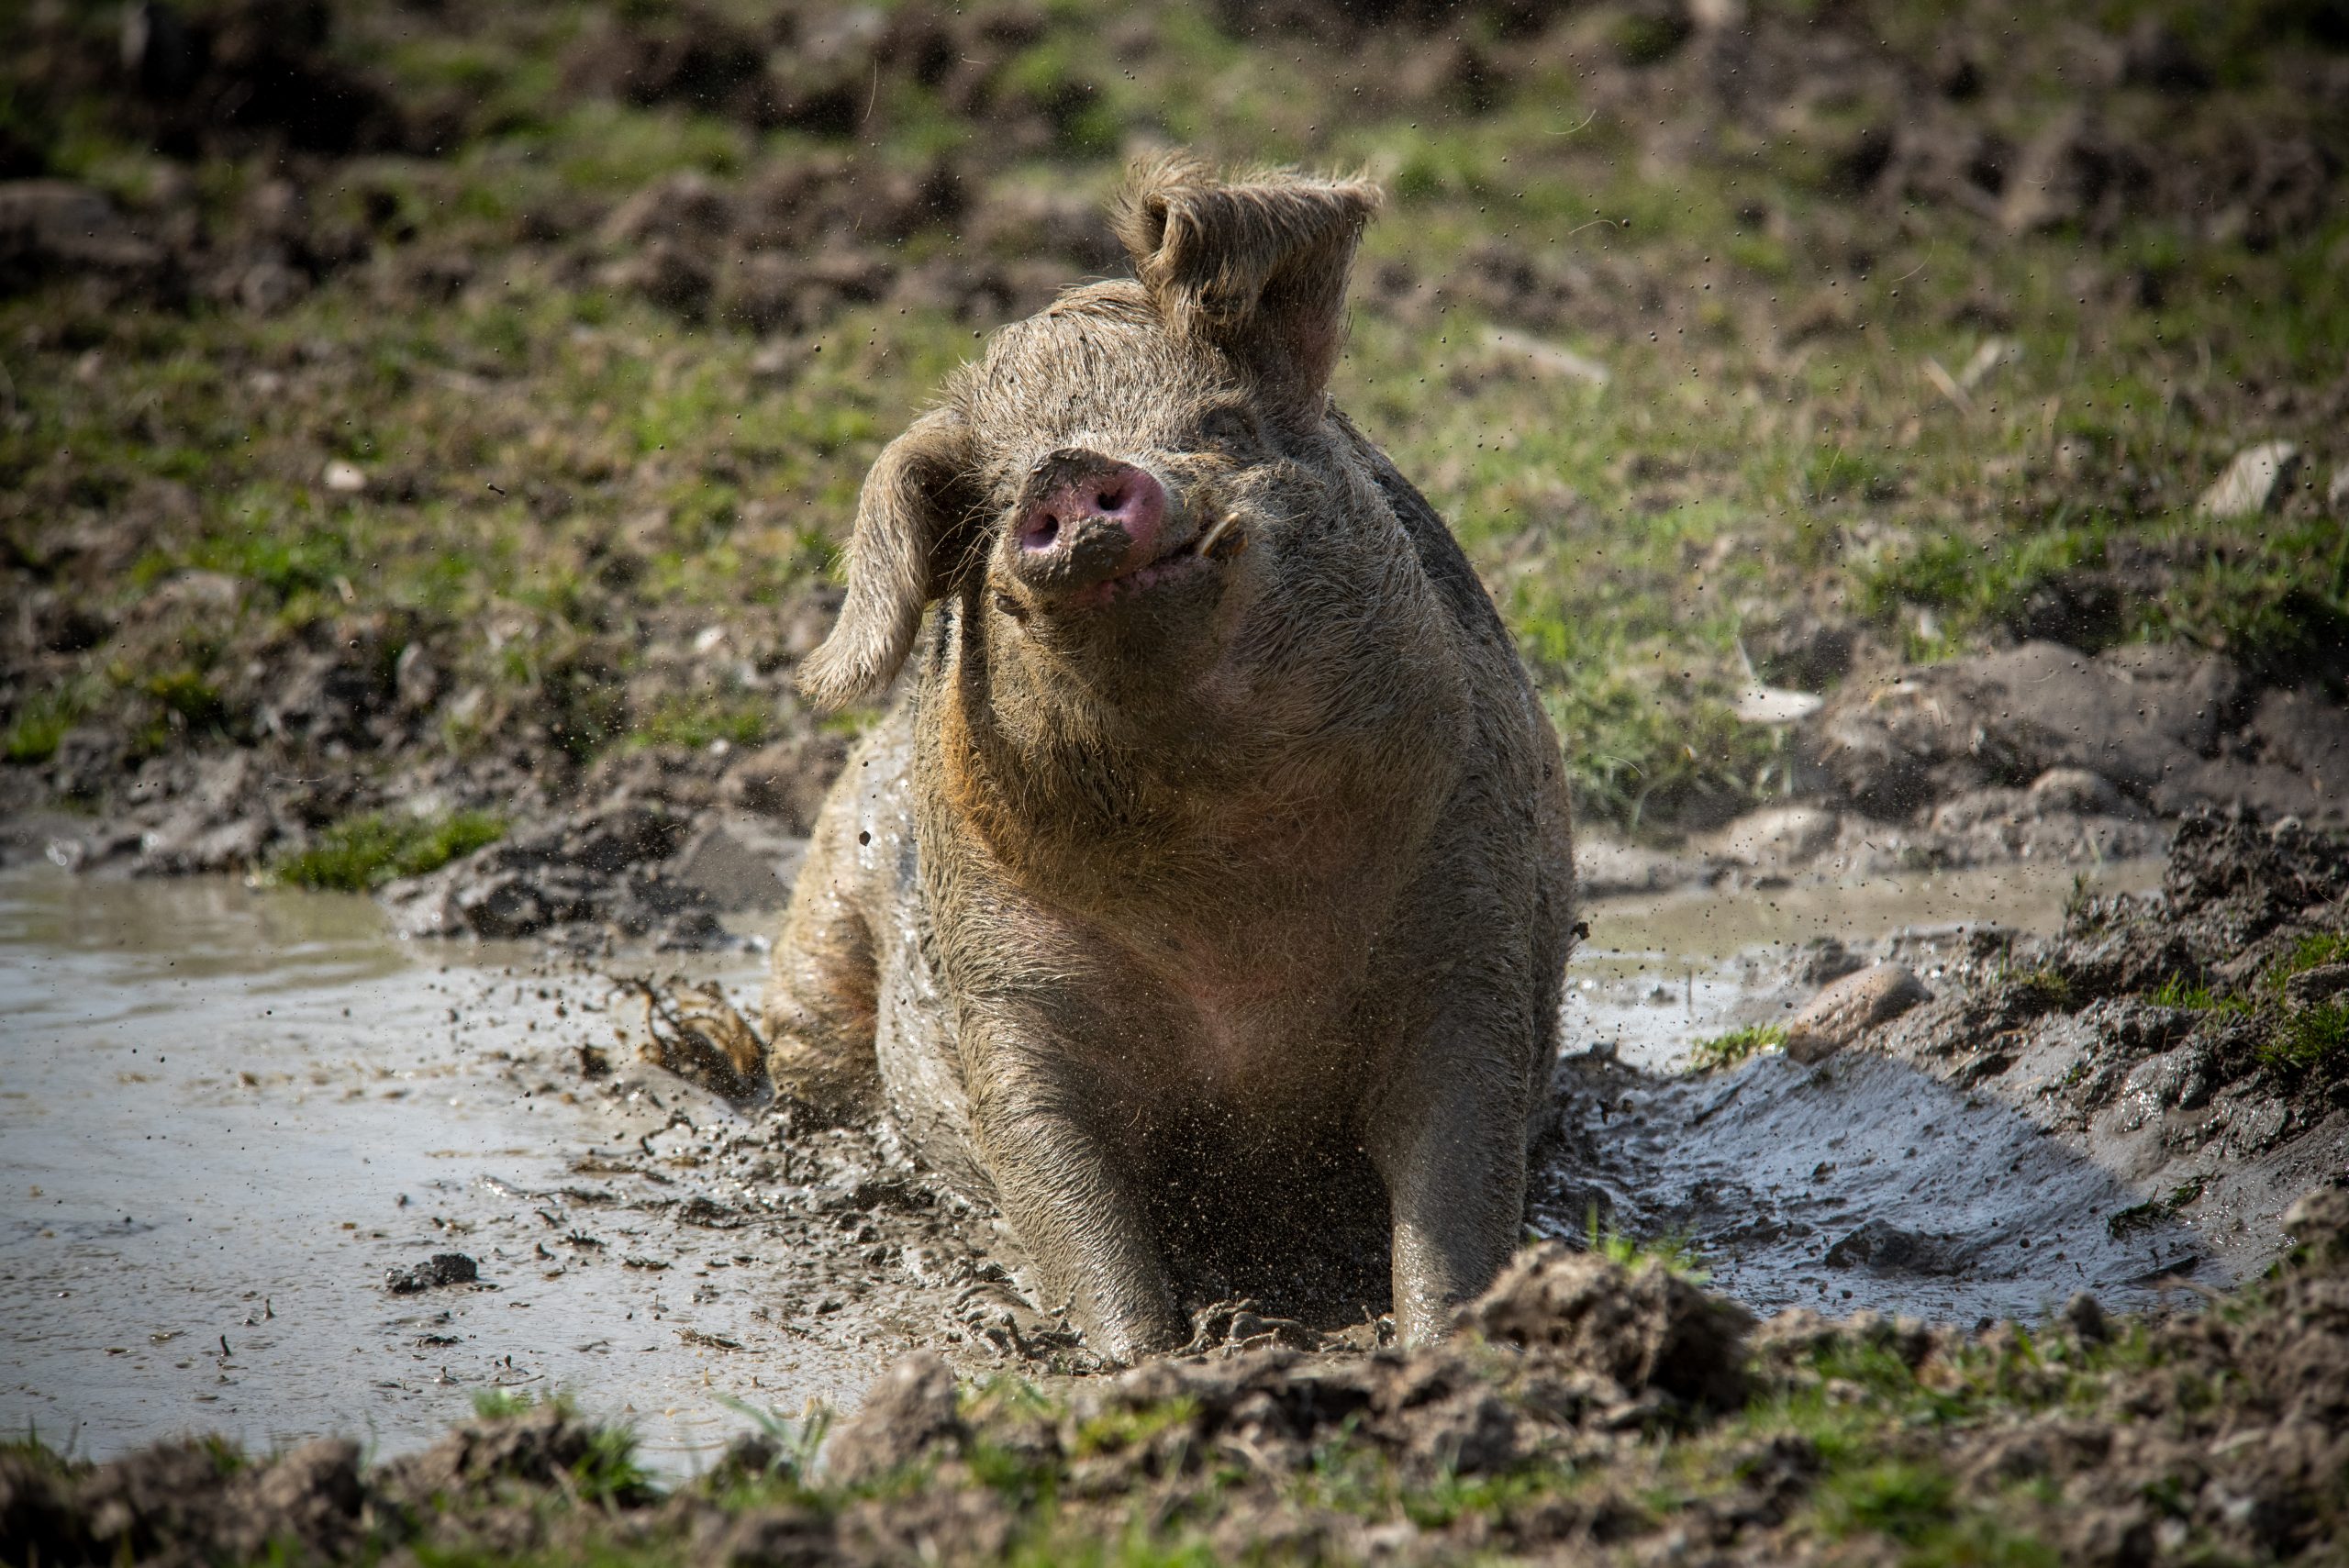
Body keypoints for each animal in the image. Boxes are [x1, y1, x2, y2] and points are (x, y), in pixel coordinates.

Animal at [765, 159, 1578, 1361]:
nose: (1068, 468)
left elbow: (1456, 1186)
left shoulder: (1472, 927)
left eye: (1221, 421)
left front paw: (1442, 1345)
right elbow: (1064, 1193)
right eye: (994, 504)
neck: (1226, 910)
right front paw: (1143, 1359)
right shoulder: (1004, 992)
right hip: (819, 927)